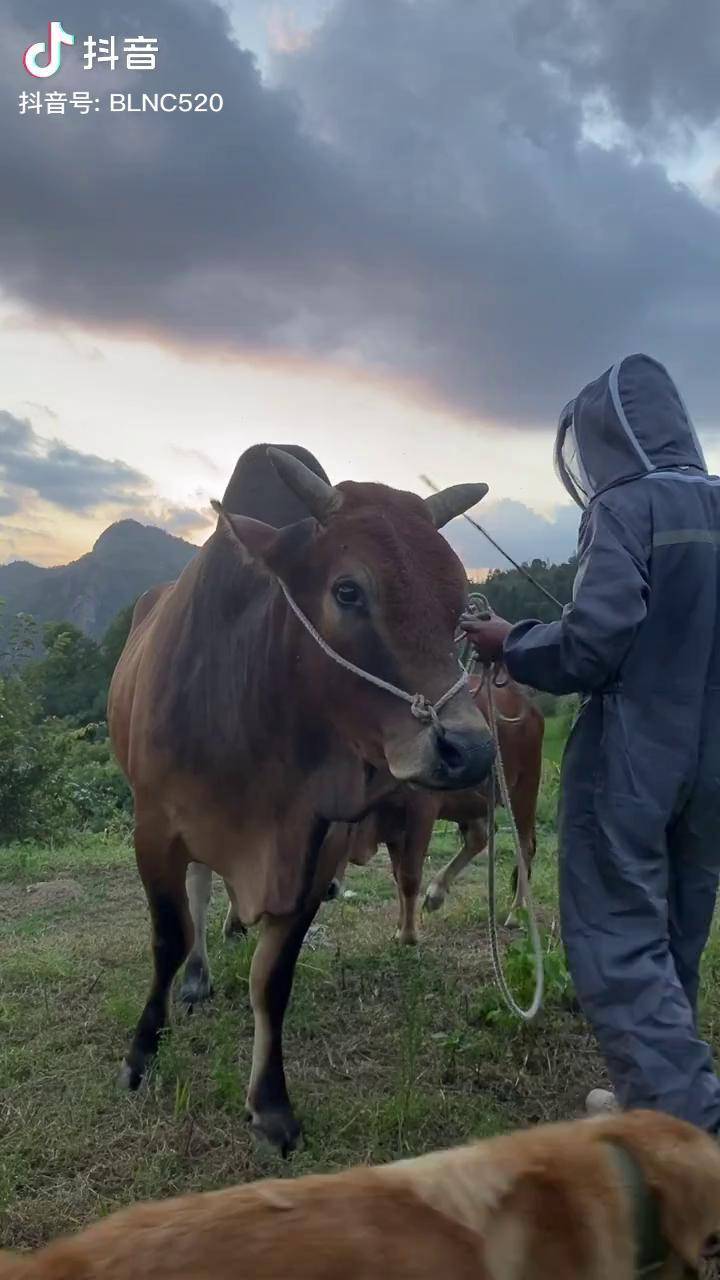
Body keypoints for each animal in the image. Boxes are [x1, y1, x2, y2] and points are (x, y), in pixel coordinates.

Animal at [109, 442, 491, 1152]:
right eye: (348, 589)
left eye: (459, 605)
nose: (470, 750)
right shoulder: (153, 827)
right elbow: (168, 937)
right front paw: (143, 1051)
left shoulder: (316, 847)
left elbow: (272, 978)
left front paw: (270, 1104)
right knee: (199, 891)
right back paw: (198, 975)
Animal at [327, 675, 540, 947]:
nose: (328, 888)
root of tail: (529, 706)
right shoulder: (395, 825)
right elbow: (398, 874)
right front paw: (400, 927)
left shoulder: (422, 809)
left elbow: (409, 876)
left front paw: (408, 935)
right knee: (480, 837)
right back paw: (436, 893)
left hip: (524, 790)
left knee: (524, 848)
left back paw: (515, 913)